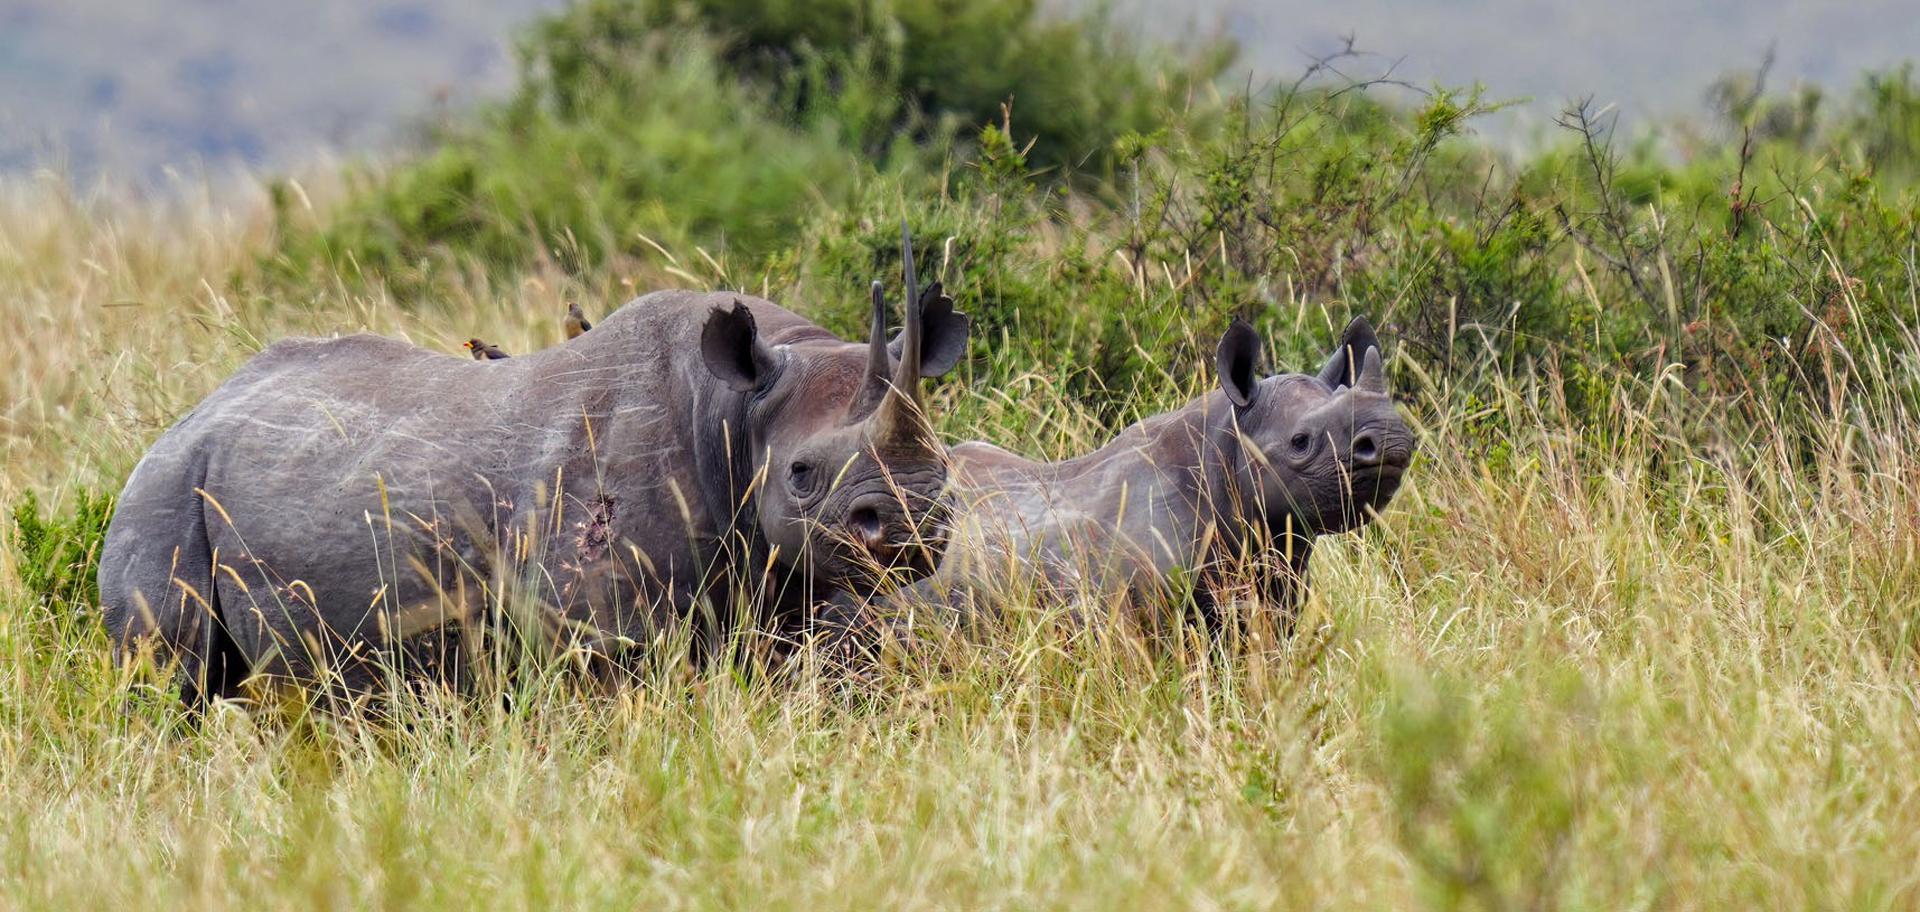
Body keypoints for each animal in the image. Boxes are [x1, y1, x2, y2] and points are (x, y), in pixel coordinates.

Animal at [97, 253, 967, 710]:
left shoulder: (780, 595)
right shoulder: (598, 631)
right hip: (165, 493)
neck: (739, 408)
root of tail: (190, 414)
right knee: (169, 683)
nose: (911, 524)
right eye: (802, 474)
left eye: (945, 465)